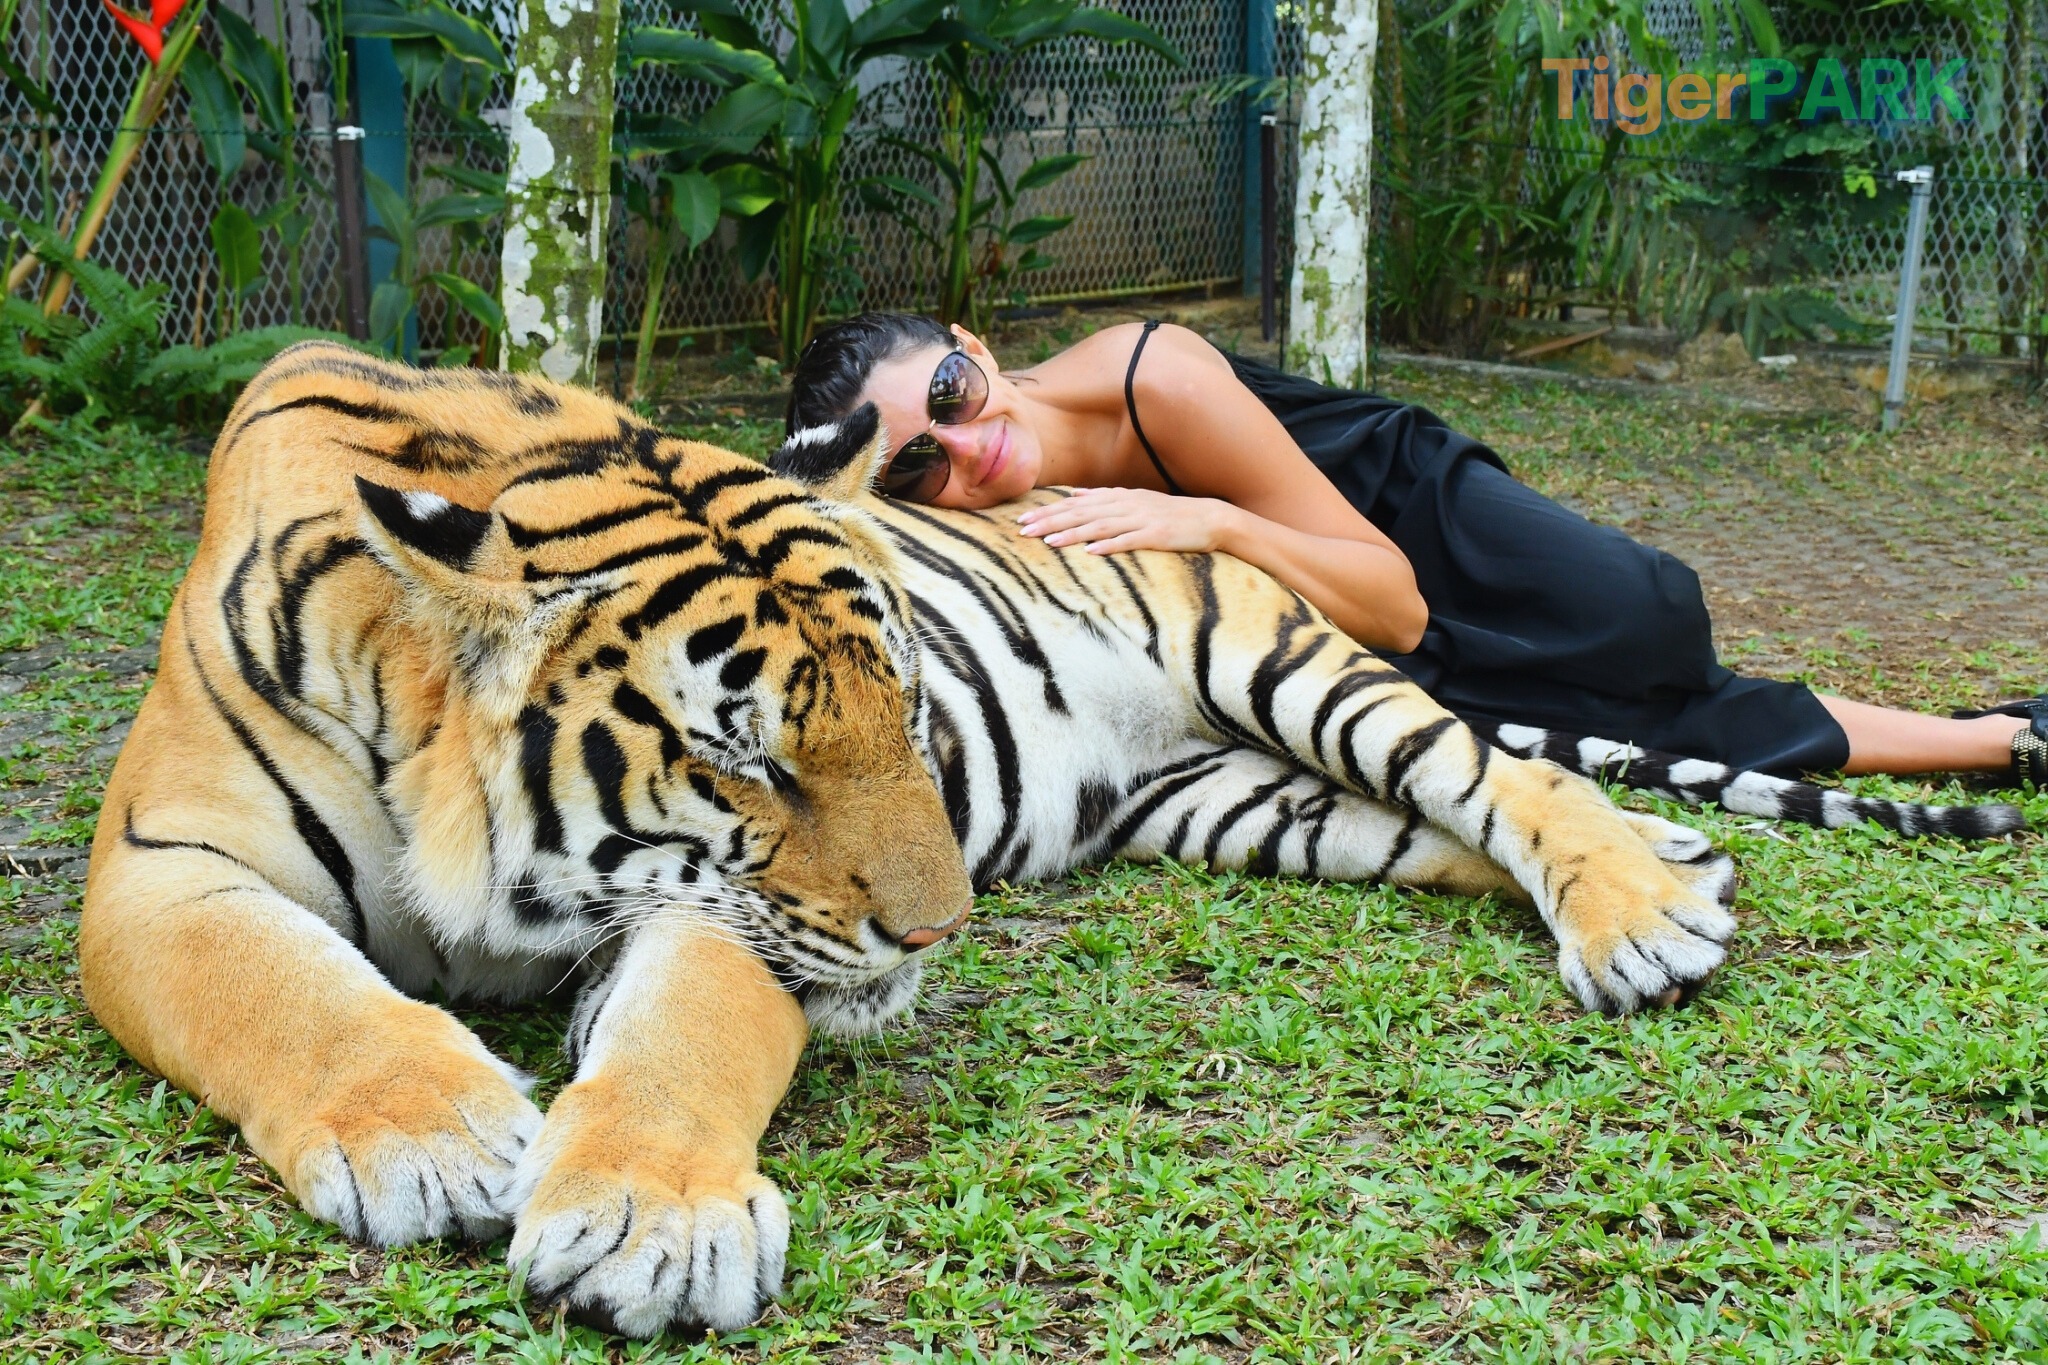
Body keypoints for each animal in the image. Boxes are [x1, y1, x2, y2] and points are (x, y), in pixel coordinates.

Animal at [80, 343, 2024, 1339]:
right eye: (751, 760)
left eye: (912, 719)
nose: (942, 934)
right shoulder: (161, 865)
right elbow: (273, 984)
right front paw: (428, 1133)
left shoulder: (714, 915)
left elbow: (685, 1040)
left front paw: (648, 1222)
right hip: (1265, 808)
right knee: (1461, 824)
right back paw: (1667, 868)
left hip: (1288, 667)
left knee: (1493, 775)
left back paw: (1637, 915)